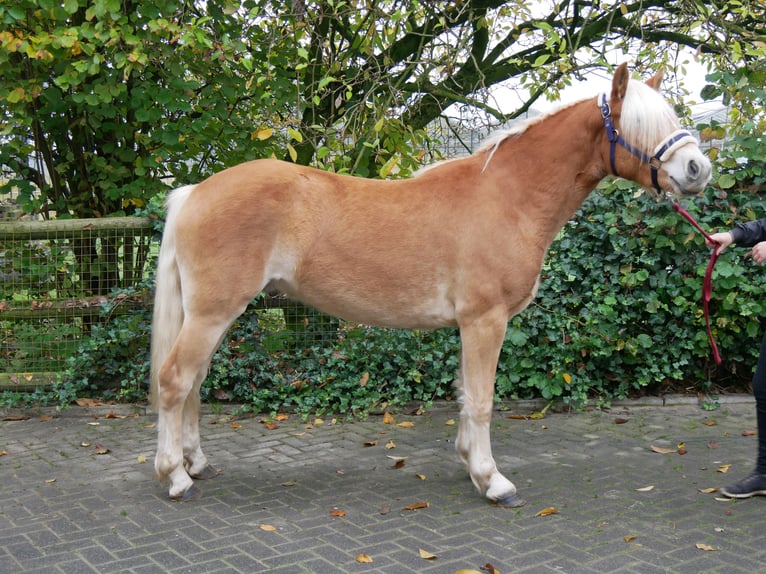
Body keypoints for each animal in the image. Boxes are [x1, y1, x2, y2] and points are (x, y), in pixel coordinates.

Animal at [150, 64, 712, 508]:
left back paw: (195, 462)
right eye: (640, 124)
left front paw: (470, 465)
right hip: (213, 312)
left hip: (213, 314)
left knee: (194, 383)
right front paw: (493, 481)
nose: (698, 169)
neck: (507, 197)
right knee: (176, 380)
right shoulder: (485, 321)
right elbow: (483, 400)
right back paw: (175, 477)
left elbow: (465, 395)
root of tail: (194, 191)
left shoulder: (469, 325)